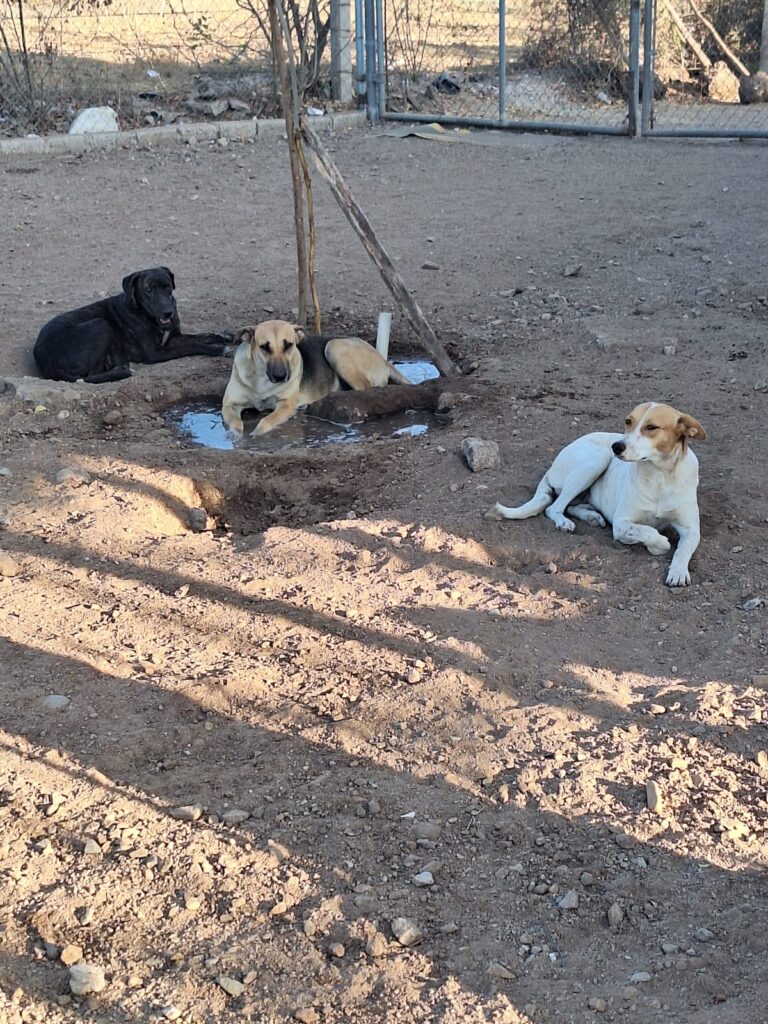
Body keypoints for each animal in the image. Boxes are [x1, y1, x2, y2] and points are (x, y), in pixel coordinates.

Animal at [33, 268, 231, 385]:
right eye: (148, 290)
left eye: (167, 287)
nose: (168, 313)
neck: (145, 314)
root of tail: (46, 364)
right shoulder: (154, 353)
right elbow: (192, 346)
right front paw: (219, 349)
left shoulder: (174, 337)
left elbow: (202, 336)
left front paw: (224, 336)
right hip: (101, 325)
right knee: (90, 375)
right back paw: (119, 369)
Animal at [222, 317, 411, 434]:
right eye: (264, 347)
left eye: (289, 345)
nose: (281, 376)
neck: (261, 379)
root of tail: (381, 357)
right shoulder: (229, 405)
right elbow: (236, 424)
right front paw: (236, 436)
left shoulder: (286, 405)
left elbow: (266, 421)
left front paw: (256, 433)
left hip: (334, 347)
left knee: (366, 389)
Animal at [493, 403, 708, 589]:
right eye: (628, 421)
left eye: (651, 427)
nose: (617, 446)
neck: (660, 477)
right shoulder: (621, 523)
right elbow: (647, 531)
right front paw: (659, 545)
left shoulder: (691, 529)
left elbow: (682, 550)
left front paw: (678, 572)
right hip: (596, 459)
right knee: (554, 507)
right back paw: (565, 521)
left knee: (571, 505)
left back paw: (592, 516)